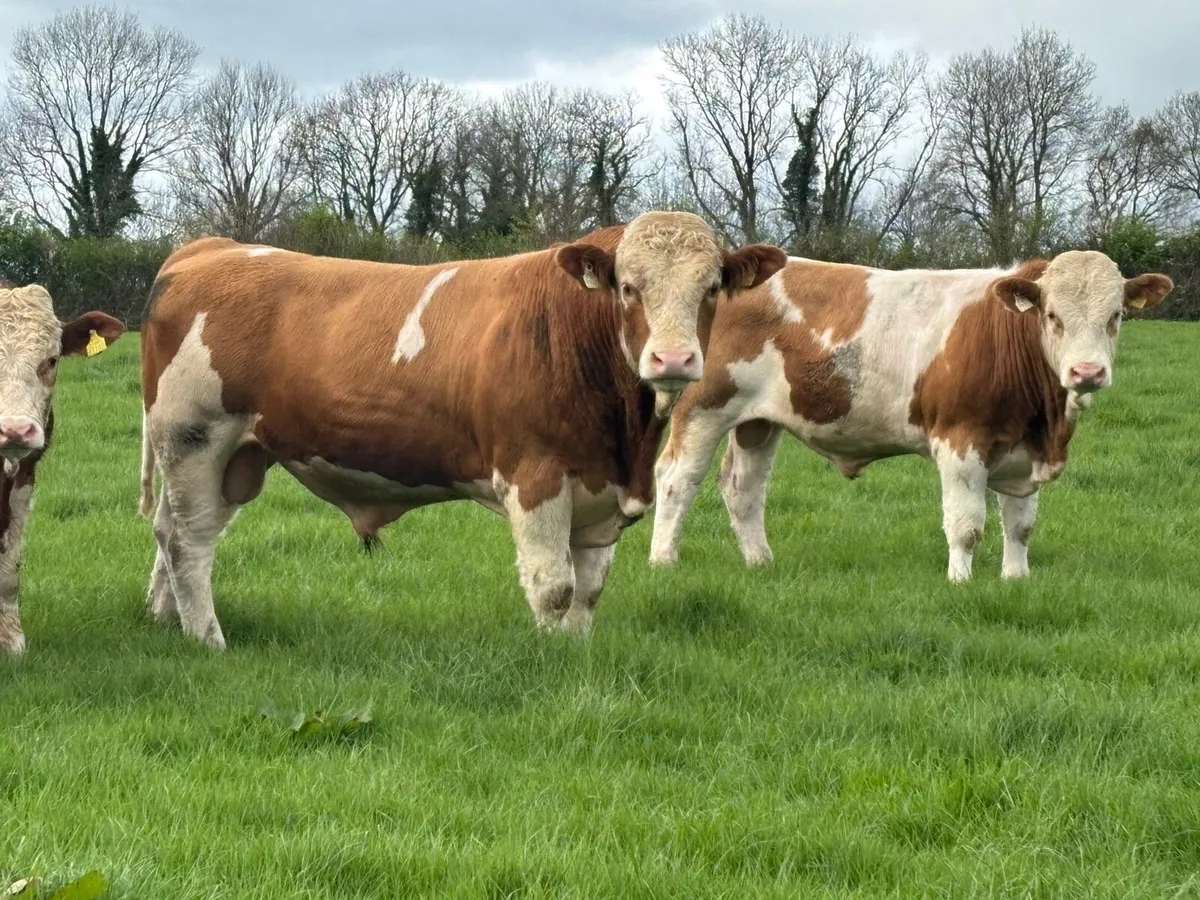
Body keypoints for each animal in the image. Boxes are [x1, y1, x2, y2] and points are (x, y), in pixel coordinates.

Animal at [138, 212, 787, 649]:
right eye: (630, 287)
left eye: (711, 288)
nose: (674, 359)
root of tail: (210, 248)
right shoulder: (536, 476)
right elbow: (554, 586)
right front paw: (549, 657)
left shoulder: (601, 492)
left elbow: (589, 589)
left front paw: (576, 652)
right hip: (195, 438)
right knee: (188, 541)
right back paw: (208, 639)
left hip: (235, 458)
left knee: (171, 530)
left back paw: (167, 621)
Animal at [649, 251, 1173, 582]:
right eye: (1052, 316)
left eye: (1115, 316)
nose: (1087, 371)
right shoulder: (961, 441)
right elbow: (966, 525)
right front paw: (960, 583)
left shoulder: (1022, 451)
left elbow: (1020, 525)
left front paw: (1016, 580)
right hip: (704, 407)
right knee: (677, 479)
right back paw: (663, 562)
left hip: (758, 421)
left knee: (743, 489)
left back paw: (761, 563)